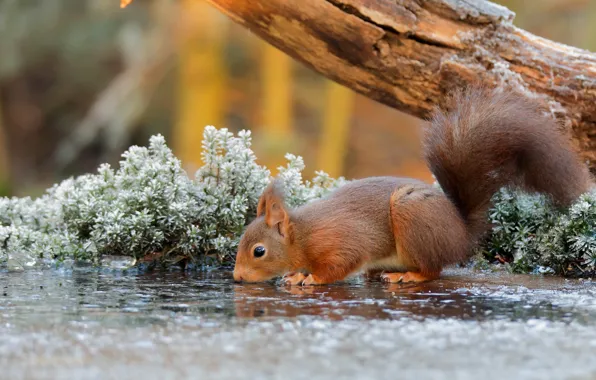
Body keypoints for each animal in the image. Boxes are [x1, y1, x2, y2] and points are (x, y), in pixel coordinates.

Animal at [232, 85, 592, 282]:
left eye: (259, 251)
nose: (236, 277)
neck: (304, 236)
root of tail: (461, 235)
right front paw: (295, 275)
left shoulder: (341, 243)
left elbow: (340, 265)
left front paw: (310, 279)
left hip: (413, 218)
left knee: (433, 270)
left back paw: (408, 274)